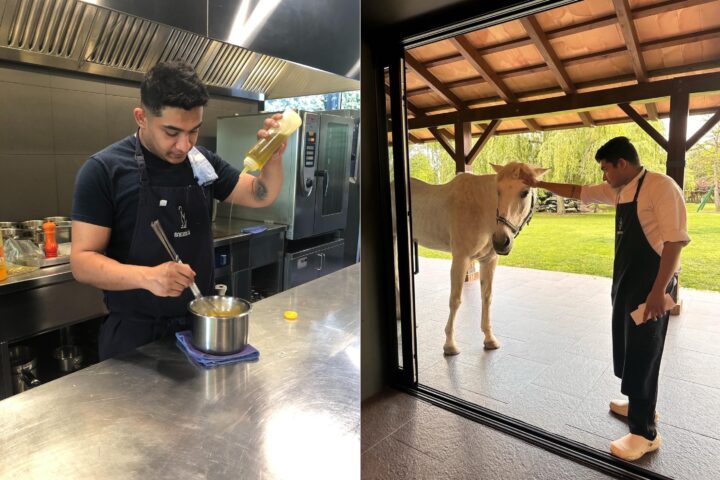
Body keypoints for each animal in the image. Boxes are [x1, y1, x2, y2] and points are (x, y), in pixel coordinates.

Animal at [408, 163, 548, 354]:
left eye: (525, 192)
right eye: (498, 191)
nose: (501, 241)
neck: (480, 209)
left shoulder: (488, 260)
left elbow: (487, 297)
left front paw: (489, 339)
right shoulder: (460, 259)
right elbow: (455, 300)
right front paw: (450, 344)